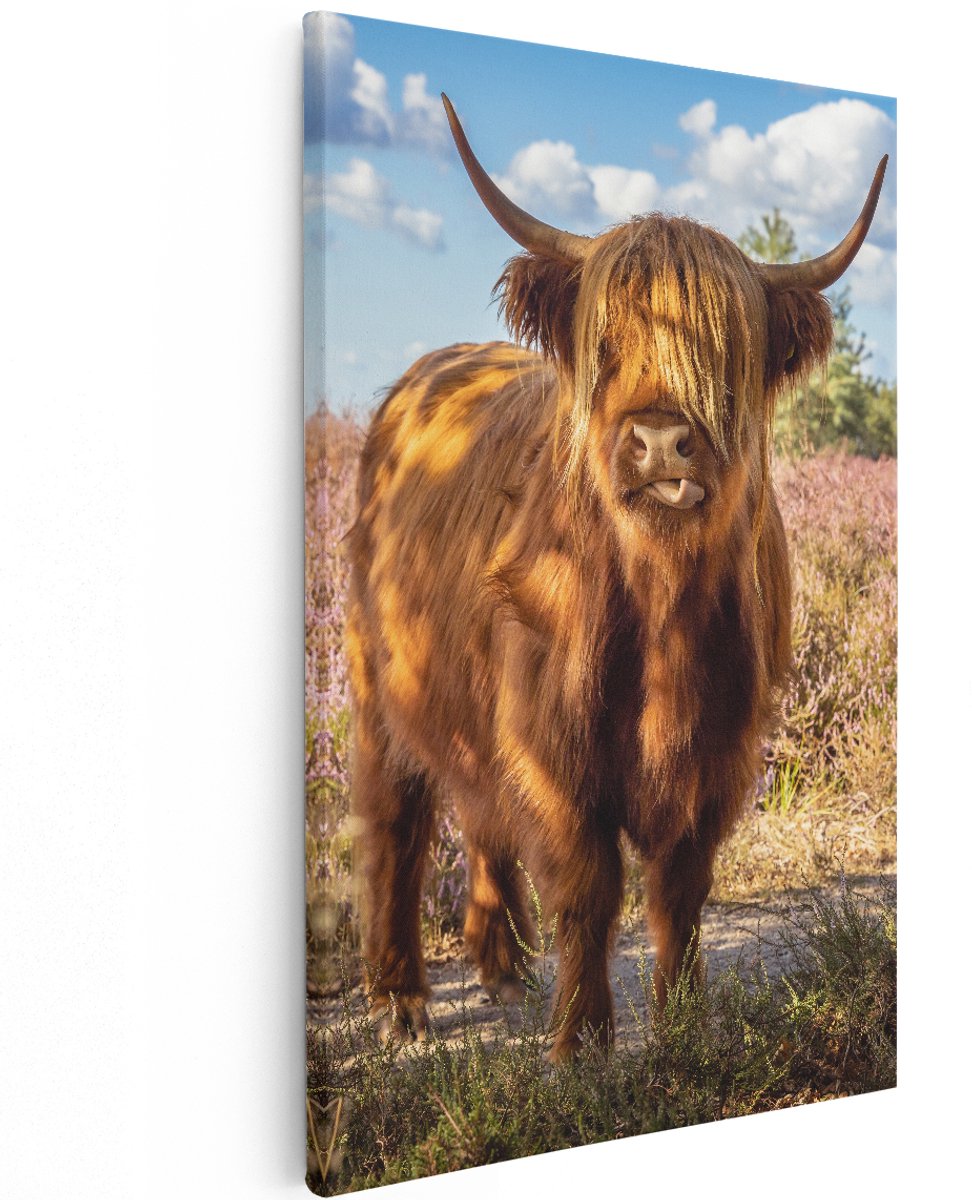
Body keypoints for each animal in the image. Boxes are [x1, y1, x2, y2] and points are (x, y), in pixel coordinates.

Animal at [347, 93, 887, 1061]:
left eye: (724, 349)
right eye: (607, 341)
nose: (663, 439)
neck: (661, 609)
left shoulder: (719, 748)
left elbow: (679, 888)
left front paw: (682, 1025)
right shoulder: (555, 746)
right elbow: (589, 887)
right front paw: (584, 1042)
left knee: (480, 813)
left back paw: (504, 970)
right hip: (380, 684)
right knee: (396, 822)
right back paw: (400, 999)